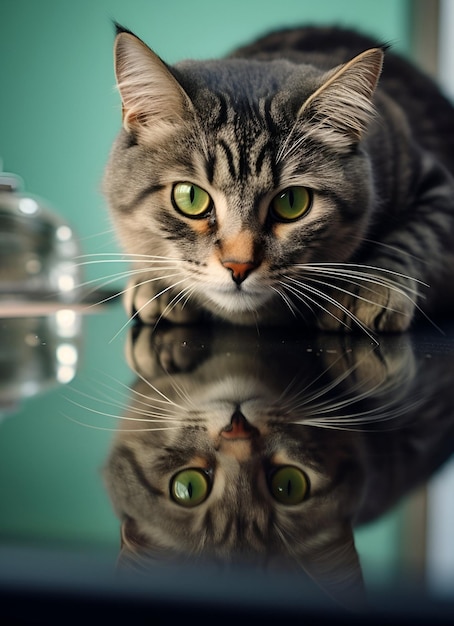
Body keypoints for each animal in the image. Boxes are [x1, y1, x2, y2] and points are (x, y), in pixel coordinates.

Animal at [103, 23, 454, 332]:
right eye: (191, 197)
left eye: (292, 202)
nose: (239, 266)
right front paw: (152, 284)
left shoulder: (436, 184)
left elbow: (413, 238)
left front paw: (368, 289)